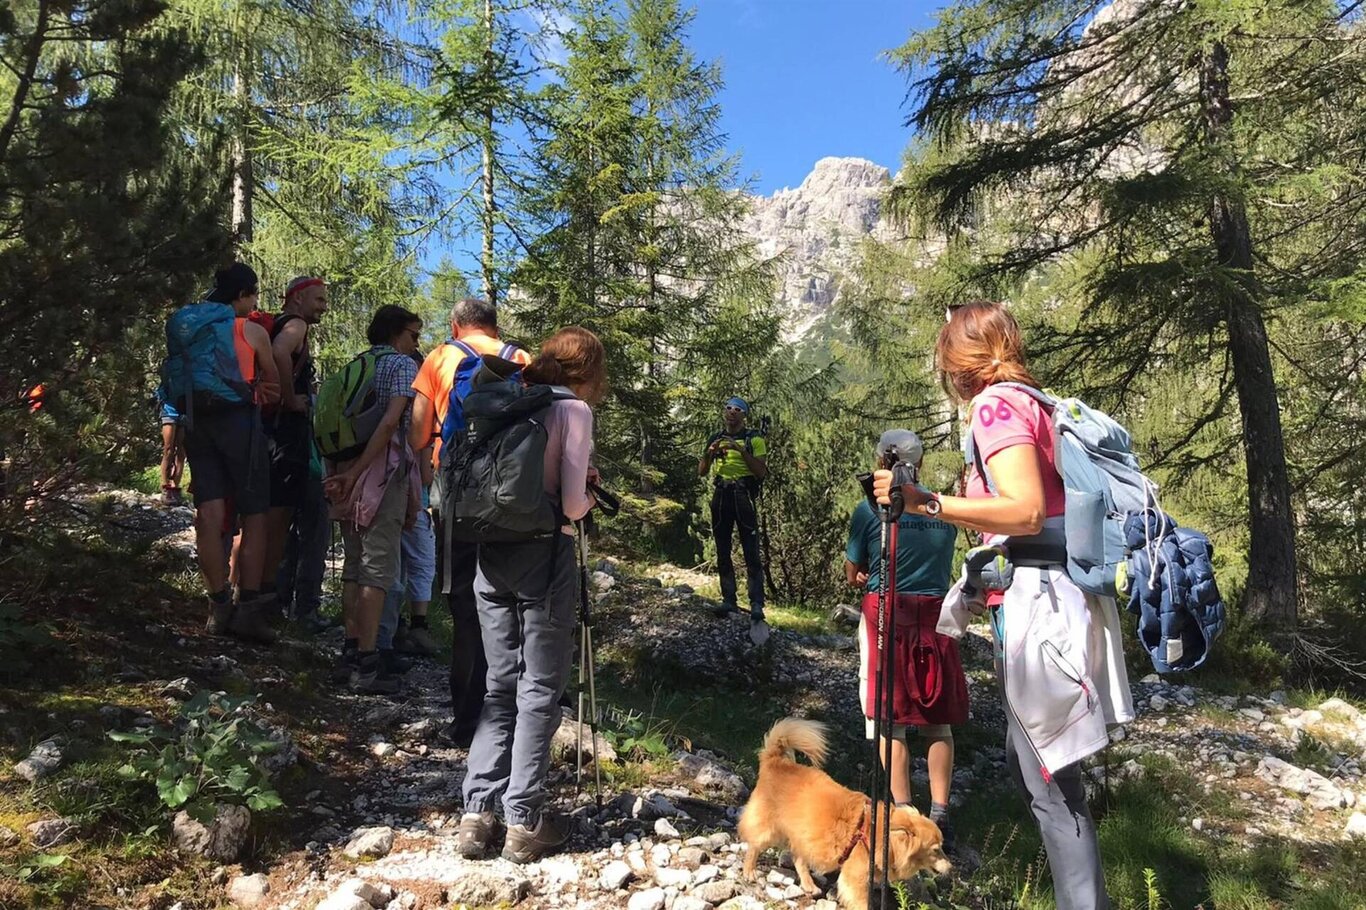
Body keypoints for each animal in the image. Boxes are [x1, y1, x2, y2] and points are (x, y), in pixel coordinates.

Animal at [737, 715, 950, 907]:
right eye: (935, 850)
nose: (951, 868)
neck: (878, 835)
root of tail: (776, 762)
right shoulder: (854, 879)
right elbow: (861, 902)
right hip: (768, 829)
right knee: (754, 846)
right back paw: (749, 872)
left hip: (804, 836)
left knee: (798, 858)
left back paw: (809, 885)